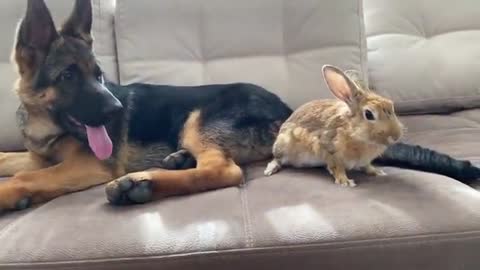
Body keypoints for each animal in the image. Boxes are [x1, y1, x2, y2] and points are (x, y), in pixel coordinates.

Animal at [264, 64, 404, 187]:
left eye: (391, 105)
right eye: (369, 114)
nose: (396, 136)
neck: (352, 131)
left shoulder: (363, 160)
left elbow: (366, 166)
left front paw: (377, 171)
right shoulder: (329, 150)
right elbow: (337, 168)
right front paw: (345, 182)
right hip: (283, 145)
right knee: (277, 159)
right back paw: (270, 170)